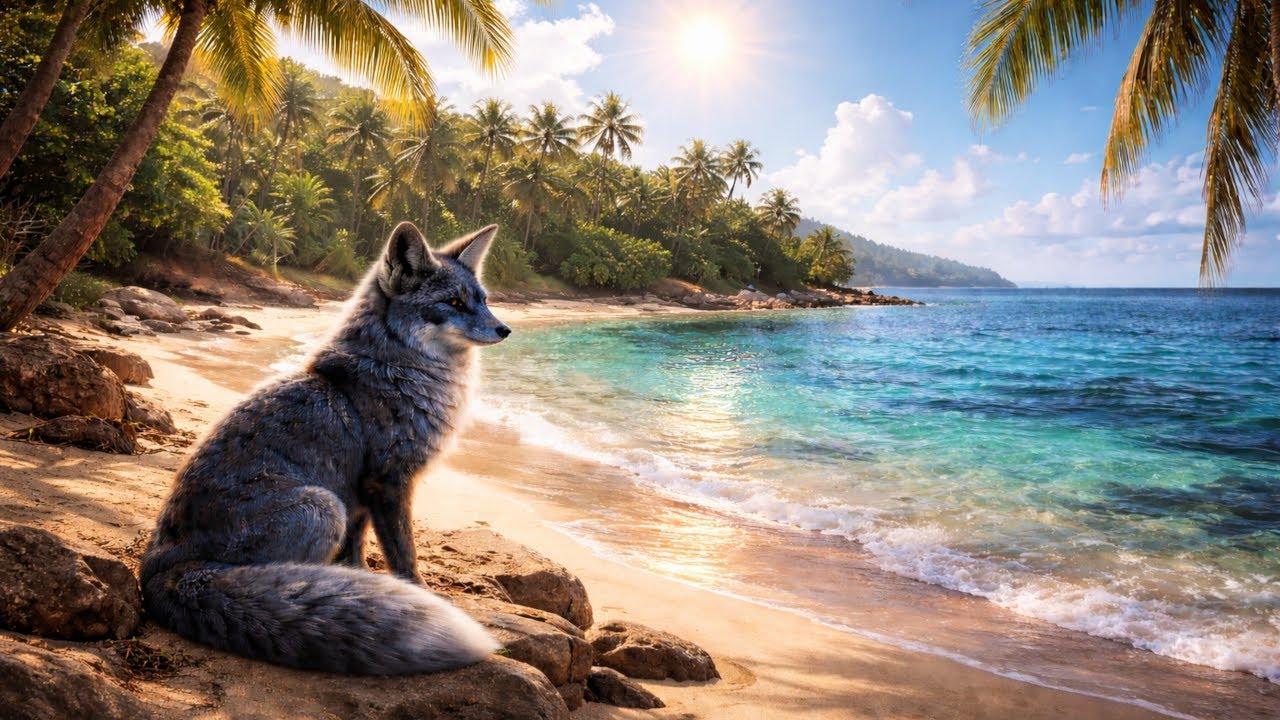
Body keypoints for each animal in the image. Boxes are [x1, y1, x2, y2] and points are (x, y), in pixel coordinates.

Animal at [139, 222, 511, 675]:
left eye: (483, 301)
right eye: (453, 303)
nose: (505, 330)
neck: (398, 369)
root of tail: (155, 570)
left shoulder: (361, 496)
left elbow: (356, 553)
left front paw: (363, 579)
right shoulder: (389, 481)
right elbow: (404, 554)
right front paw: (417, 589)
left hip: (332, 505)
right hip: (322, 507)